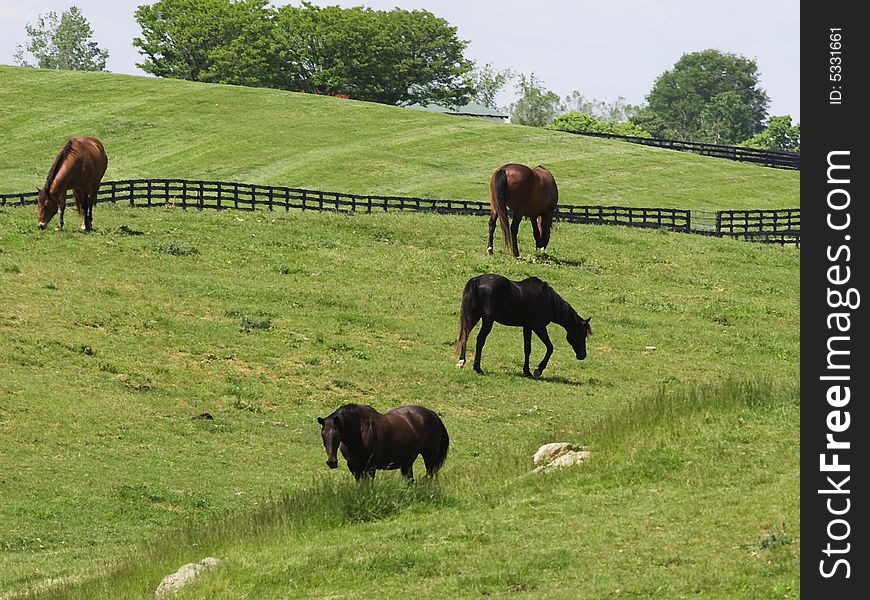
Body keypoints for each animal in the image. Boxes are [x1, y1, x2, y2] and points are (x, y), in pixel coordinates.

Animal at [316, 404, 450, 482]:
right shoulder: (354, 467)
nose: (332, 462)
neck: (359, 433)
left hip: (430, 456)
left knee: (430, 476)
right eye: (322, 434)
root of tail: (431, 413)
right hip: (407, 463)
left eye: (337, 435)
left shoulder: (370, 467)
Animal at [456, 274, 592, 378]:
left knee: (464, 337)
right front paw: (538, 370)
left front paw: (527, 371)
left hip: (473, 317)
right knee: (480, 340)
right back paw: (477, 368)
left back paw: (461, 362)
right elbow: (550, 347)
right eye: (582, 334)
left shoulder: (527, 327)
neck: (548, 299)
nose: (582, 355)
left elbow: (527, 349)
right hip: (488, 321)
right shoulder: (539, 327)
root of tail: (477, 280)